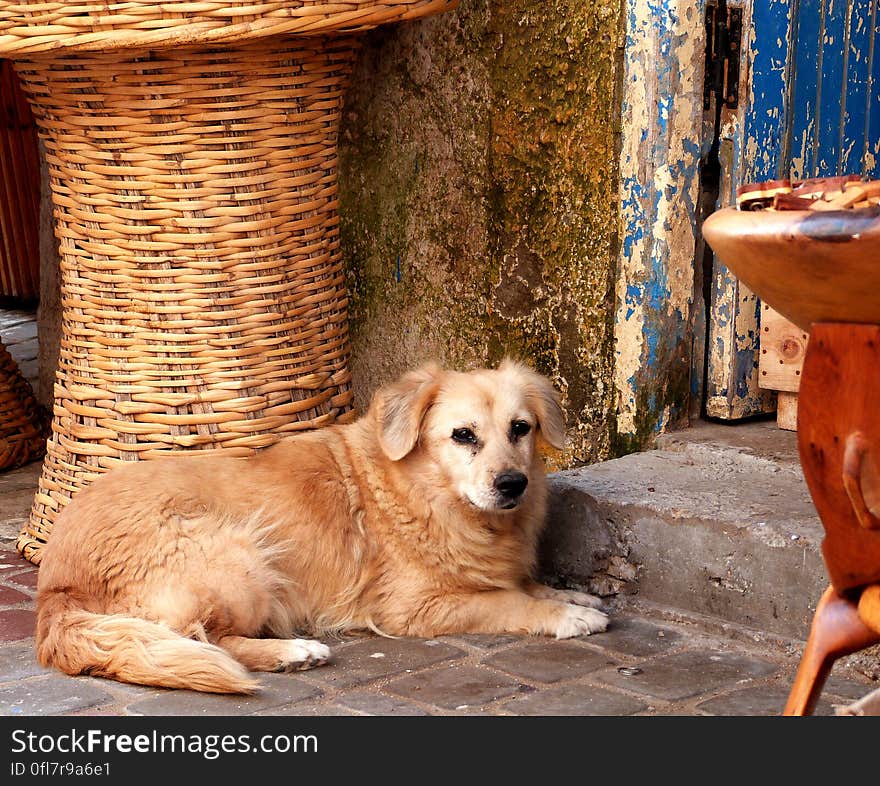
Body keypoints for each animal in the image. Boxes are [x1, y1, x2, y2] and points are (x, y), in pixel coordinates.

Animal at [36, 358, 612, 688]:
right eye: (463, 435)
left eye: (521, 428)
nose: (513, 484)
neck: (428, 495)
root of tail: (53, 586)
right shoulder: (415, 609)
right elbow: (506, 600)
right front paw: (566, 615)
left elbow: (526, 585)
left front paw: (569, 595)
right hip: (239, 553)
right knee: (207, 639)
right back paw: (292, 651)